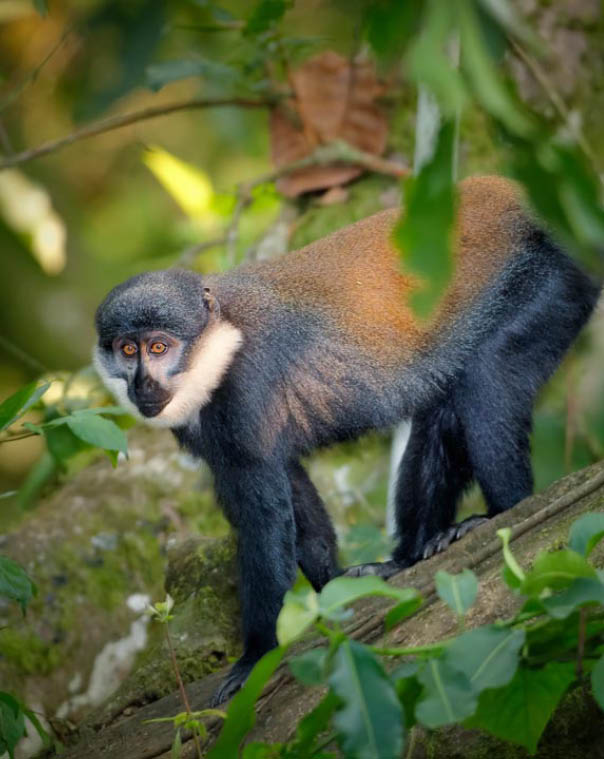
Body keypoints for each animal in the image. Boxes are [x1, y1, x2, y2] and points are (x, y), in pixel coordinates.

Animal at [93, 176, 600, 705]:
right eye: (127, 350)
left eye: (158, 347)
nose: (143, 385)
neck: (219, 344)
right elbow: (293, 492)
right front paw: (334, 589)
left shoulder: (246, 390)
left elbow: (265, 520)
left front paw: (255, 656)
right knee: (443, 408)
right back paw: (406, 558)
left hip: (552, 281)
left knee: (488, 377)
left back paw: (503, 512)